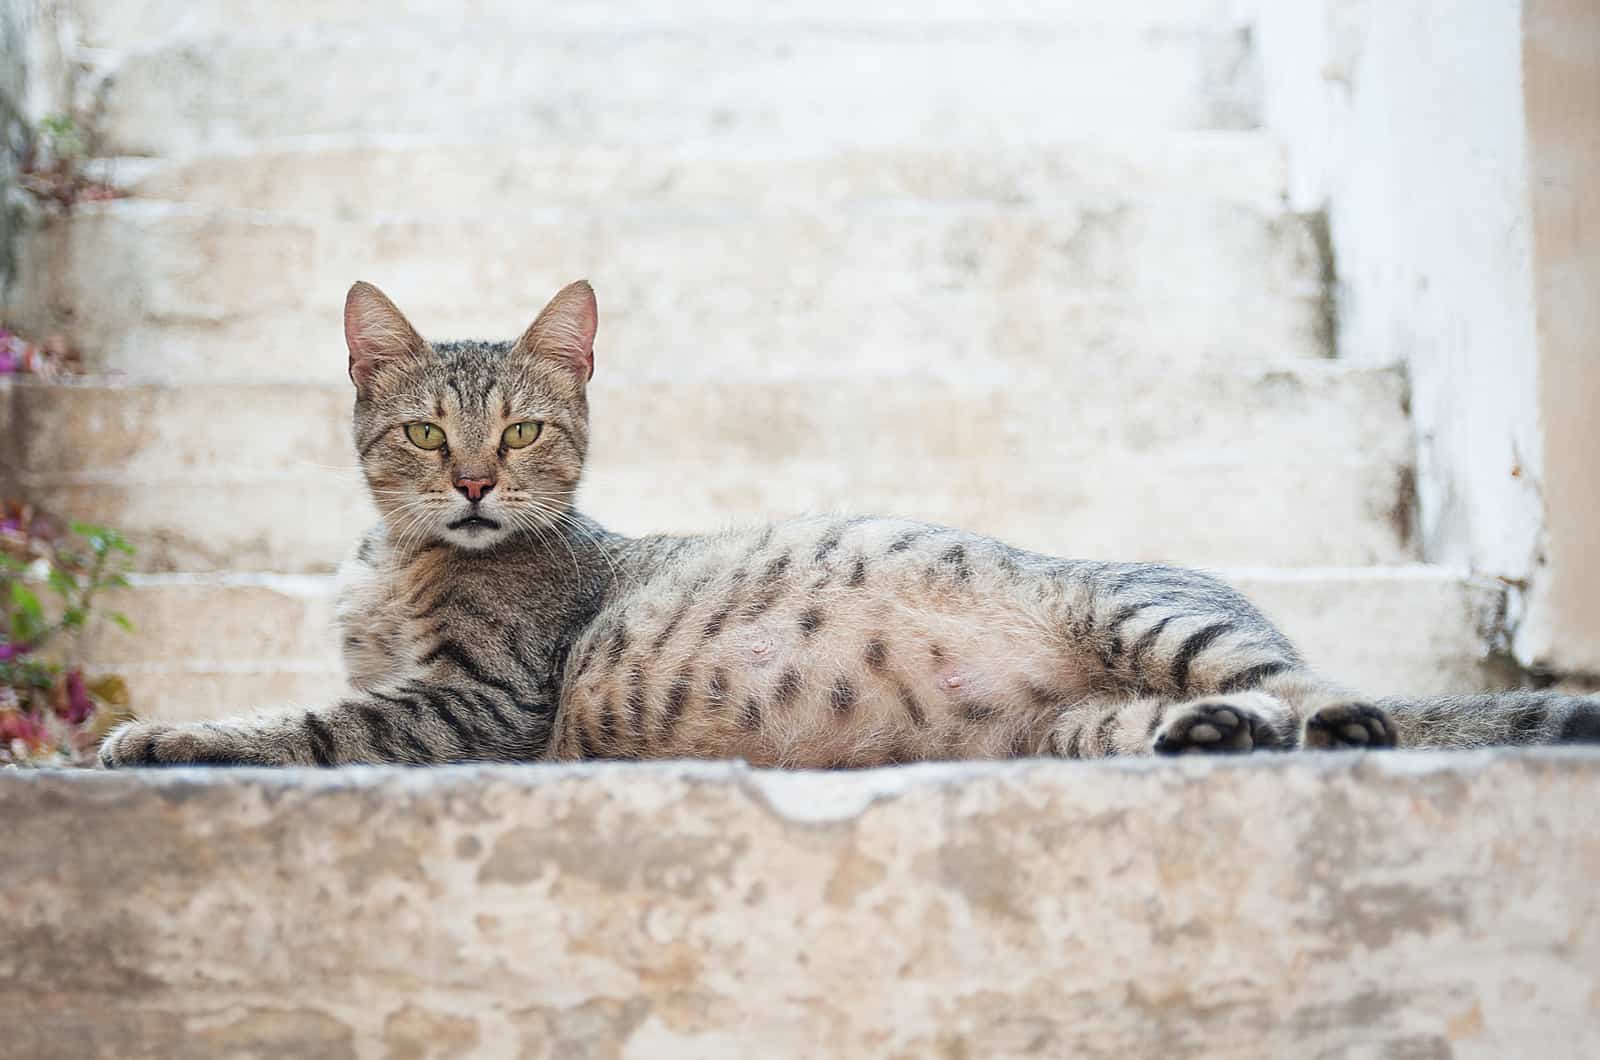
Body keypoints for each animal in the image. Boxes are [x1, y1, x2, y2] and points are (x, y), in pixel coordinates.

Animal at [96, 278, 1600, 768]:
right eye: (425, 434)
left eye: (518, 433)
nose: (470, 483)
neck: (400, 562)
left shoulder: (476, 705)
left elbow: (305, 722)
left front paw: (161, 736)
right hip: (1082, 725)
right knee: (1218, 722)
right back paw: (1215, 738)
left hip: (1155, 612)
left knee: (1336, 693)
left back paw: (1336, 721)